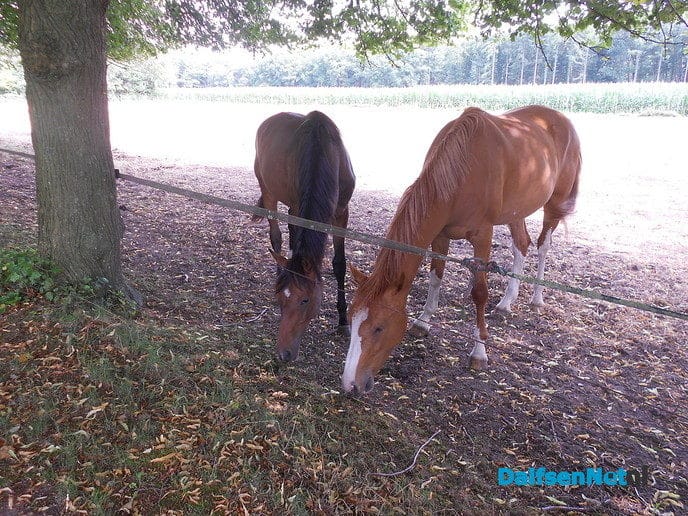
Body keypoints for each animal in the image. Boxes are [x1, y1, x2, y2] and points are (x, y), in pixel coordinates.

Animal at [253, 111, 355, 362]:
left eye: (304, 300)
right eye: (280, 300)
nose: (283, 354)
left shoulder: (342, 213)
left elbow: (339, 263)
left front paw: (343, 322)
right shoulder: (300, 208)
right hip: (268, 191)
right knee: (277, 236)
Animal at [342, 105, 581, 394]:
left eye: (379, 327)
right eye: (350, 318)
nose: (350, 384)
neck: (462, 169)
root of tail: (560, 118)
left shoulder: (483, 237)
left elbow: (479, 293)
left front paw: (479, 352)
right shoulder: (440, 235)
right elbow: (436, 277)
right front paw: (423, 321)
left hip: (554, 204)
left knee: (543, 246)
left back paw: (536, 298)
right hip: (517, 210)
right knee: (521, 245)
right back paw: (506, 302)